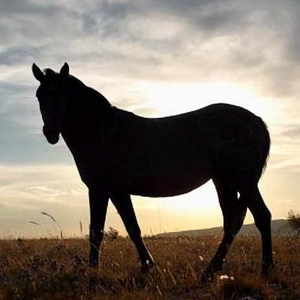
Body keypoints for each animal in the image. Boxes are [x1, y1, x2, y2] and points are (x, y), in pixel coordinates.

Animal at [31, 62, 274, 276]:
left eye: (64, 94)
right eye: (39, 96)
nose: (50, 132)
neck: (103, 131)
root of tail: (257, 121)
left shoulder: (99, 190)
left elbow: (96, 231)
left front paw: (92, 271)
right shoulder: (117, 192)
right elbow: (132, 228)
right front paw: (147, 265)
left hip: (244, 181)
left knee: (261, 216)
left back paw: (265, 269)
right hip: (224, 181)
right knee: (231, 222)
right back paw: (212, 268)